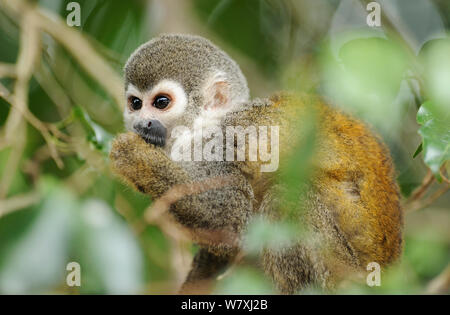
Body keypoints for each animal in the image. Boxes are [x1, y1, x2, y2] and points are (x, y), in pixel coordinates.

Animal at [110, 34, 404, 294]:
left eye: (161, 103)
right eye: (135, 104)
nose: (142, 123)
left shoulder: (224, 139)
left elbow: (228, 220)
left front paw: (134, 157)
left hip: (342, 274)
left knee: (284, 201)